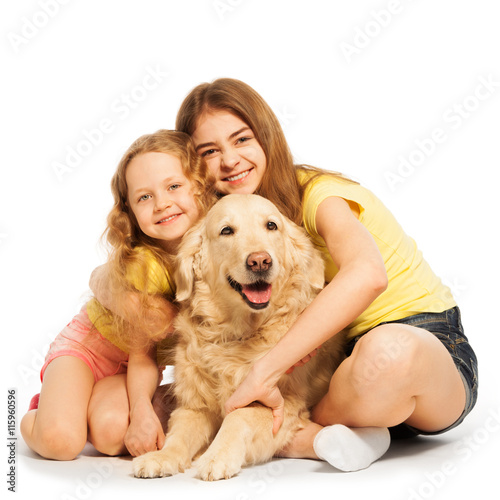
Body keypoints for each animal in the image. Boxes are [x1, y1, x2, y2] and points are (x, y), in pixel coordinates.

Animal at [132, 193, 344, 478]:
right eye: (226, 231)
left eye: (271, 225)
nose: (260, 261)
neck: (236, 334)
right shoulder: (195, 404)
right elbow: (179, 432)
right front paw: (162, 456)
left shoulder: (282, 402)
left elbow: (238, 415)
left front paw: (217, 457)